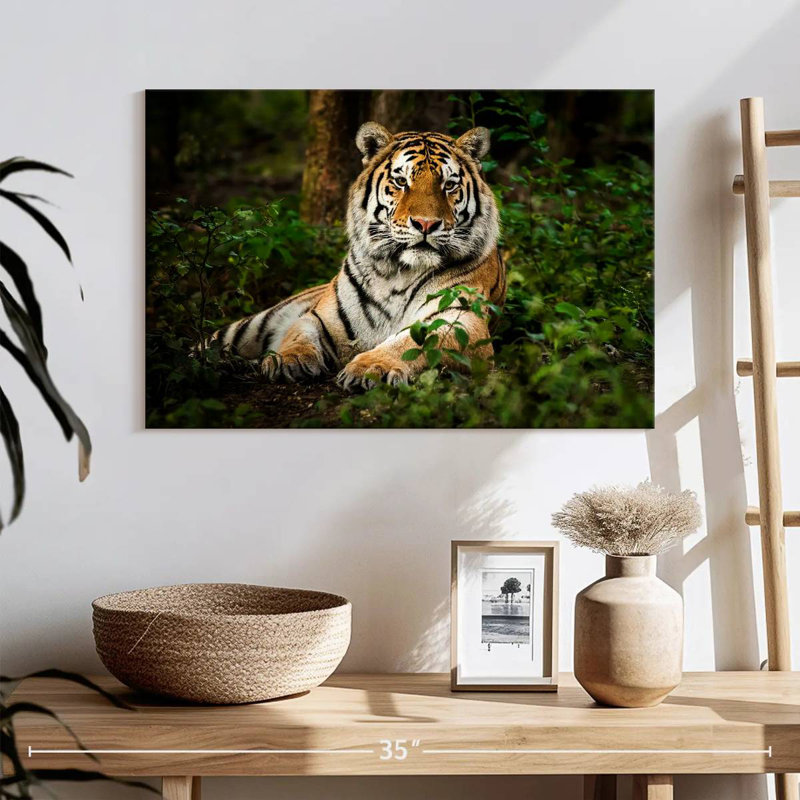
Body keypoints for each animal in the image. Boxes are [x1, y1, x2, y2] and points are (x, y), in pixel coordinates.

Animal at [209, 121, 505, 389]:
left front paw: (372, 368)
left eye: (449, 185)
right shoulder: (321, 317)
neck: (398, 273)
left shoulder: (461, 320)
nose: (425, 224)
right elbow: (298, 334)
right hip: (252, 325)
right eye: (401, 181)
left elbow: (410, 342)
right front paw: (286, 360)